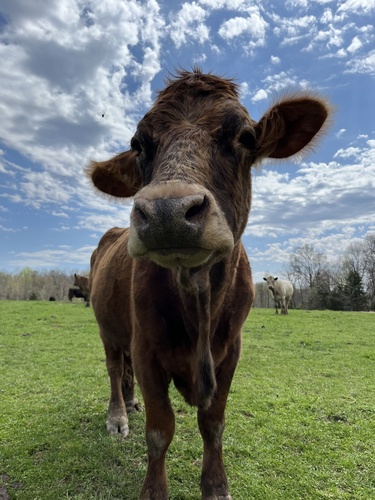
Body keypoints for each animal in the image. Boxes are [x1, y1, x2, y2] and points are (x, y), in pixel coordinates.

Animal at [87, 67, 328, 500]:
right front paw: (154, 490)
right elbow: (159, 430)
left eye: (245, 137)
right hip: (107, 328)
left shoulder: (231, 352)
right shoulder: (147, 350)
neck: (198, 297)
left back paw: (130, 403)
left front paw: (216, 485)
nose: (167, 211)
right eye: (138, 145)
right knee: (115, 369)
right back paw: (119, 414)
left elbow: (213, 423)